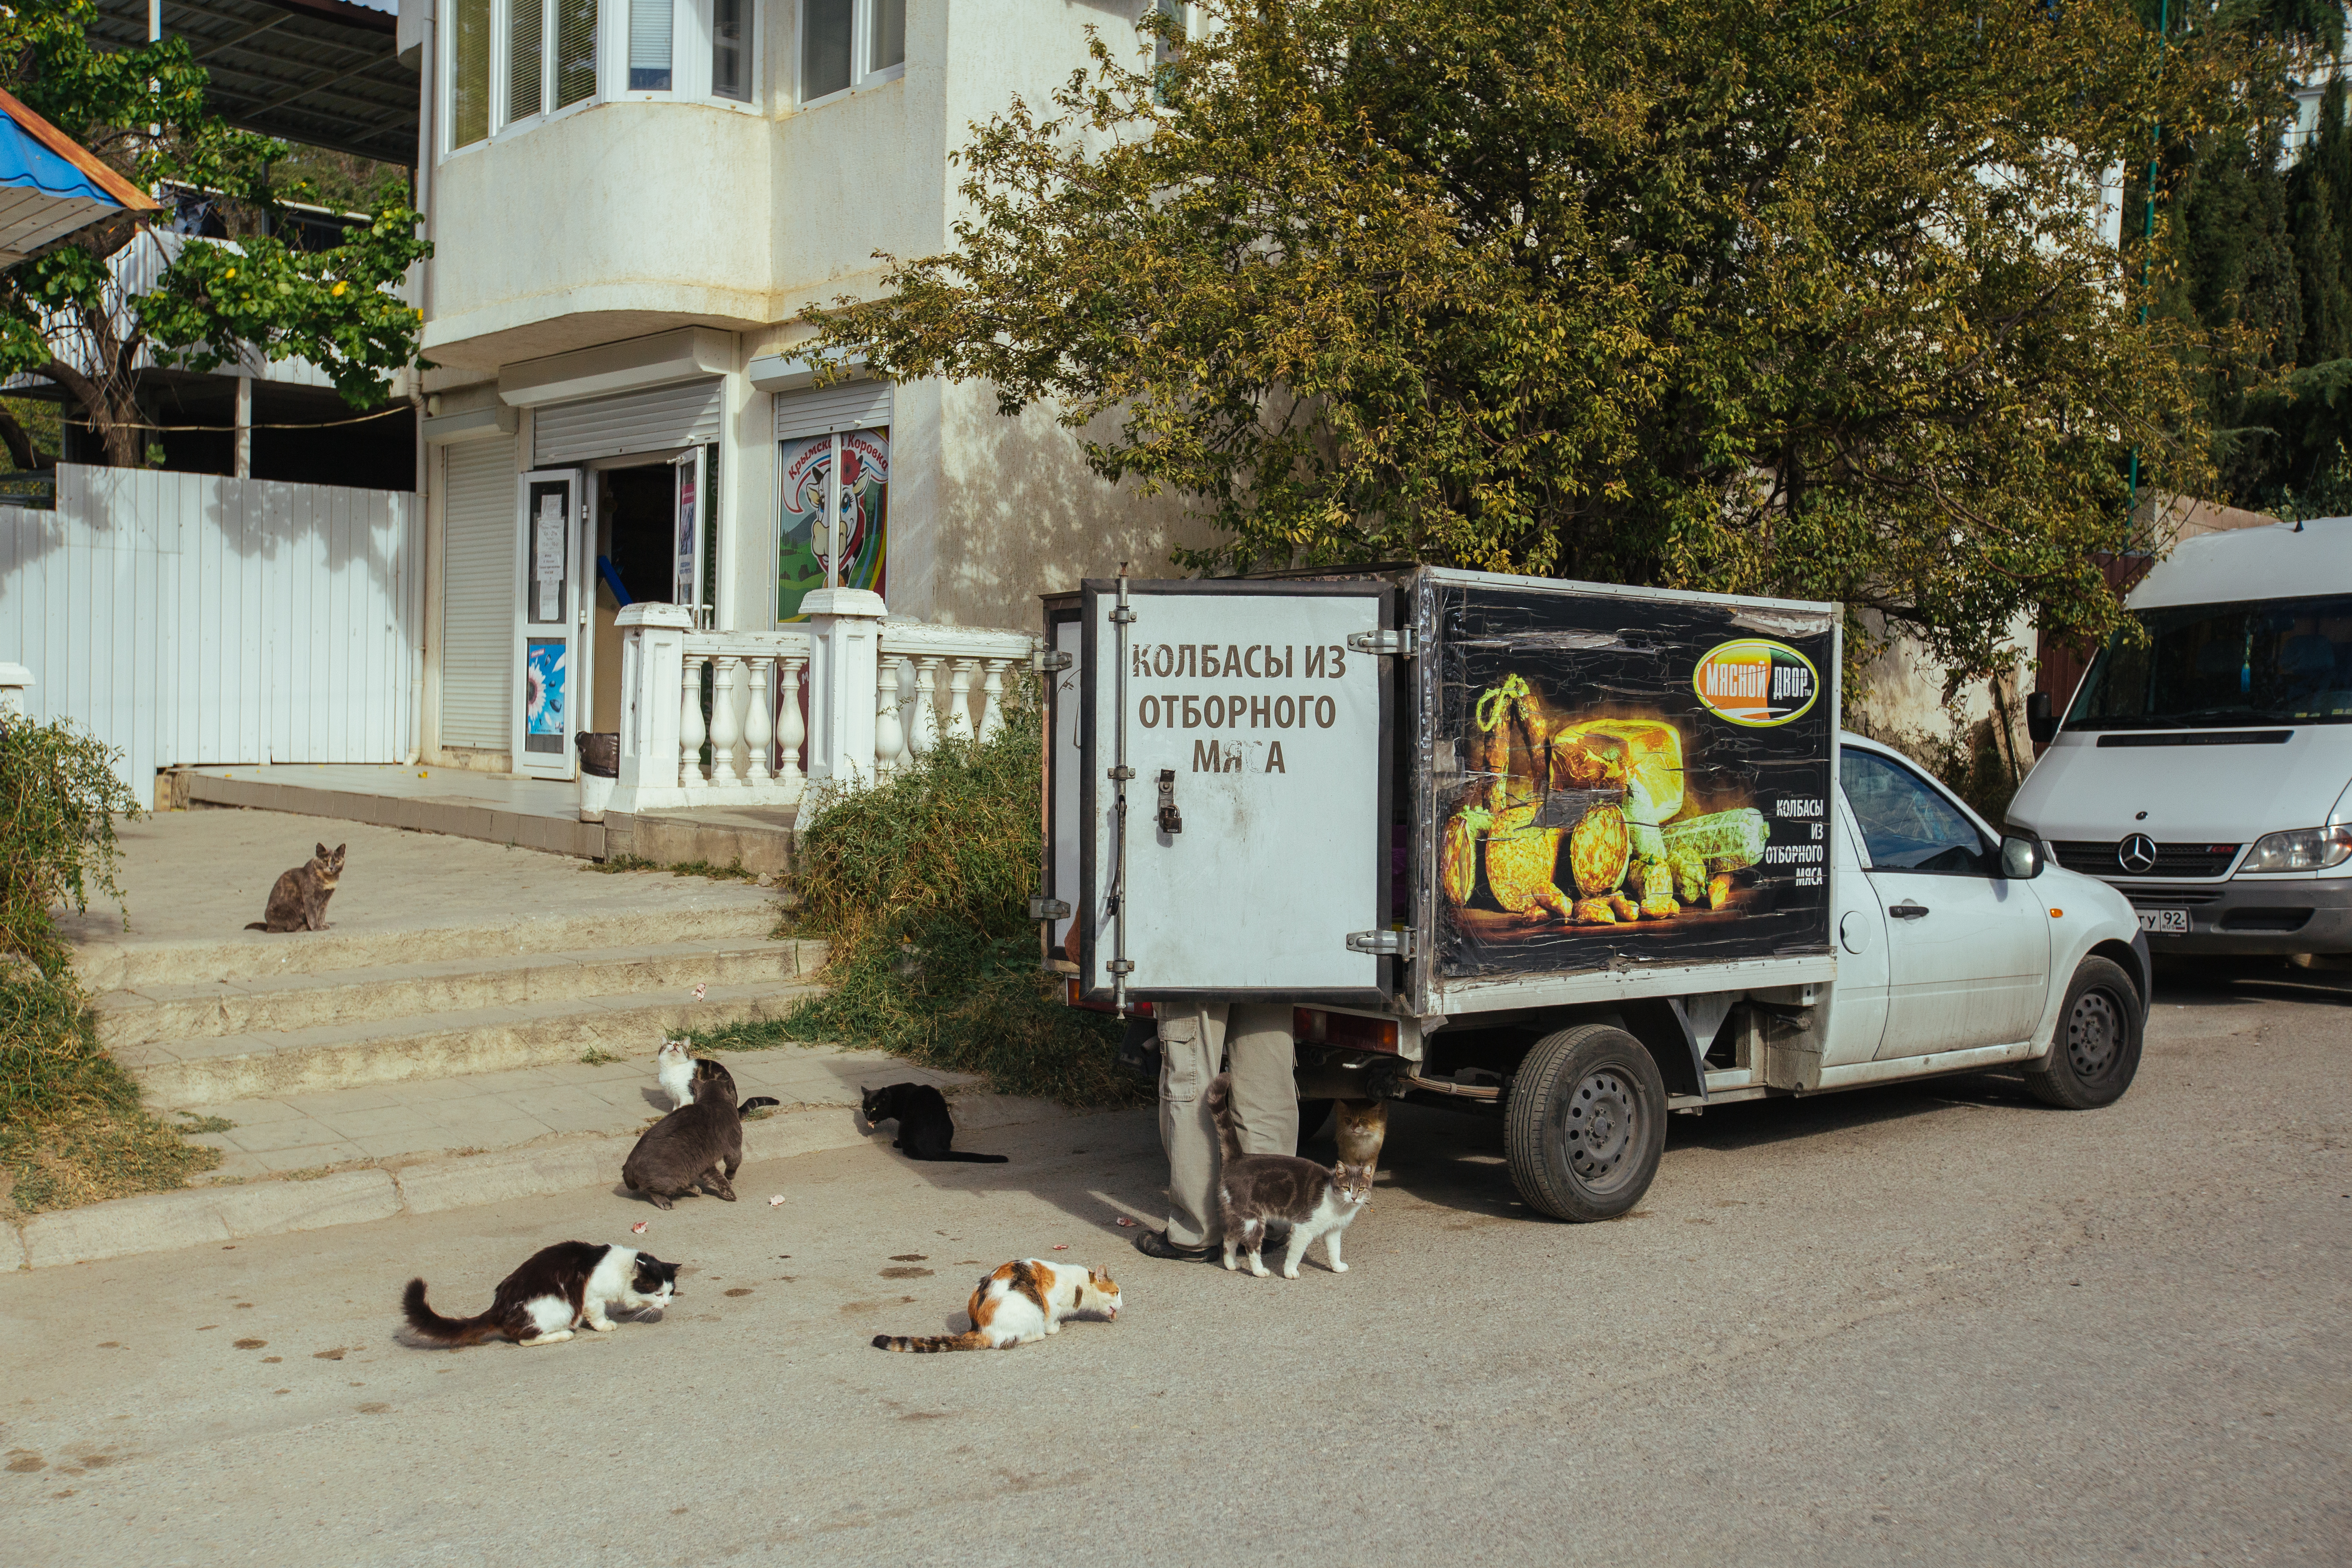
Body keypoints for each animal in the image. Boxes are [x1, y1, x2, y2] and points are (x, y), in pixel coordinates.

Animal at [243, 846, 343, 931]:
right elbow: (313, 915)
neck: (328, 879)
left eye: (337, 862)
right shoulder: (309, 899)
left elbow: (322, 914)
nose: (331, 868)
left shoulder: (325, 900)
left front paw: (323, 925)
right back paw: (302, 927)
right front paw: (317, 928)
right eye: (325, 861)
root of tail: (269, 926)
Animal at [402, 1241, 682, 1354]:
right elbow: (597, 1314)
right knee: (525, 1339)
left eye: (671, 1292)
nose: (667, 1303)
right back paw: (565, 1334)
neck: (620, 1267)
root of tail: (500, 1306)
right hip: (561, 1308)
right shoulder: (592, 1297)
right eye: (658, 1293)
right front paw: (605, 1326)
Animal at [625, 1063, 743, 1213]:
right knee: (652, 1190)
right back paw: (666, 1201)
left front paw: (726, 1191)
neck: (713, 1101)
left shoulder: (705, 1162)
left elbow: (715, 1177)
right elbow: (734, 1162)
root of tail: (628, 1165)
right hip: (670, 1179)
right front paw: (730, 1179)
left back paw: (694, 1188)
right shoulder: (734, 1146)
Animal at [875, 1260, 1119, 1354]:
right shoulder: (1051, 1303)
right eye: (1116, 1293)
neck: (1079, 1285)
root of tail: (979, 1329)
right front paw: (1055, 1327)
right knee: (1008, 1341)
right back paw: (1038, 1334)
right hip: (1031, 1309)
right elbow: (1052, 1321)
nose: (1123, 1303)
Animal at [1213, 1072, 1373, 1279]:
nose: (1354, 1198)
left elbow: (1335, 1250)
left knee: (1229, 1238)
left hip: (1237, 1214)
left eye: (1361, 1189)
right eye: (1347, 1188)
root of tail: (1239, 1158)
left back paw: (1231, 1265)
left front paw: (1337, 1267)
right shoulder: (1304, 1227)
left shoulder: (1333, 1231)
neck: (1338, 1205)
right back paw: (1259, 1271)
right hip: (1253, 1219)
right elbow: (1296, 1253)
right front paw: (1290, 1272)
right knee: (1252, 1247)